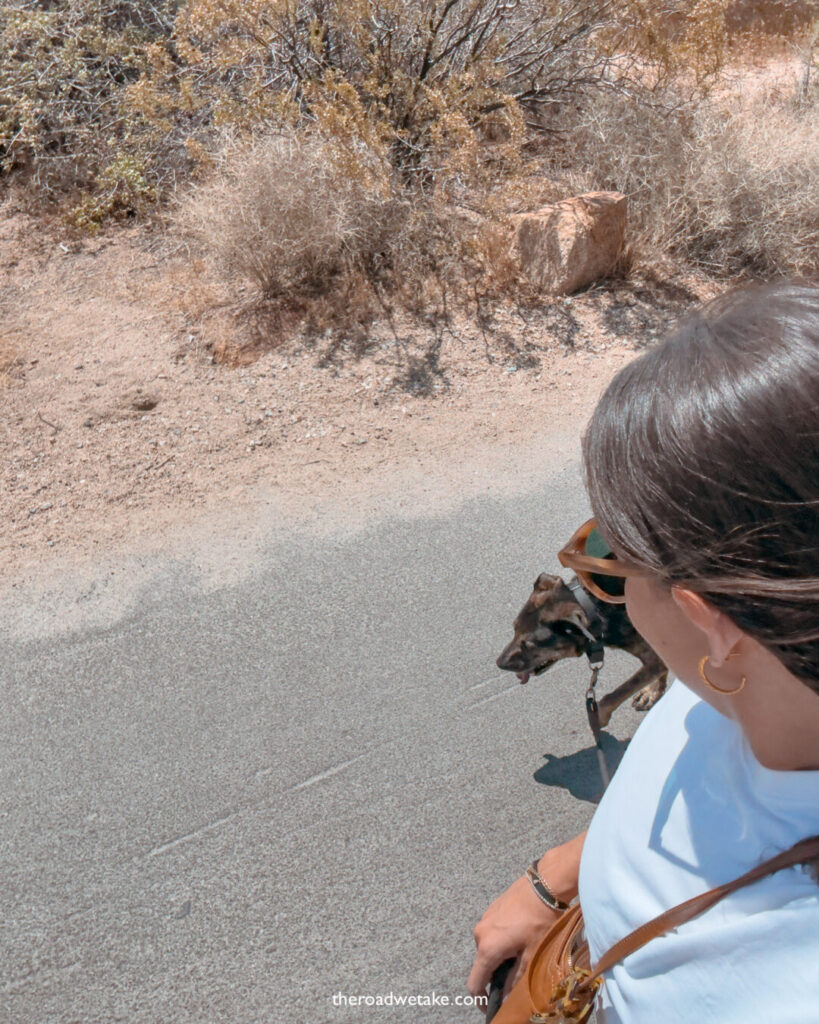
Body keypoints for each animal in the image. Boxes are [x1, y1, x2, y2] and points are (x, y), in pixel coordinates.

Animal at [499, 577, 663, 729]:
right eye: (514, 629)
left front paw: (598, 717)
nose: (499, 663)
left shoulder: (655, 657)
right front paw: (653, 692)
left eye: (529, 644)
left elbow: (613, 696)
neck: (596, 608)